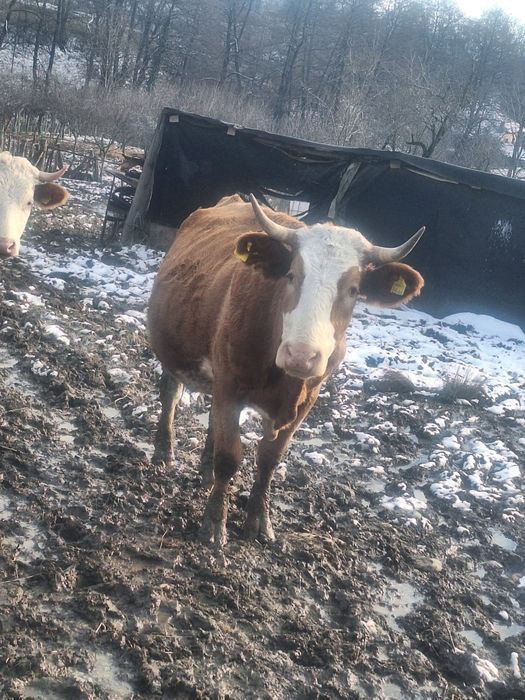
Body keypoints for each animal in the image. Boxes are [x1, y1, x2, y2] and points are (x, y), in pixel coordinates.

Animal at [148, 194, 425, 547]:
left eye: (353, 290)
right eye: (291, 275)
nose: (301, 355)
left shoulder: (305, 402)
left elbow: (269, 460)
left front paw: (259, 521)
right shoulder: (230, 387)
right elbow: (230, 457)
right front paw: (214, 524)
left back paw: (205, 470)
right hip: (175, 353)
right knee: (171, 395)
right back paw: (164, 452)